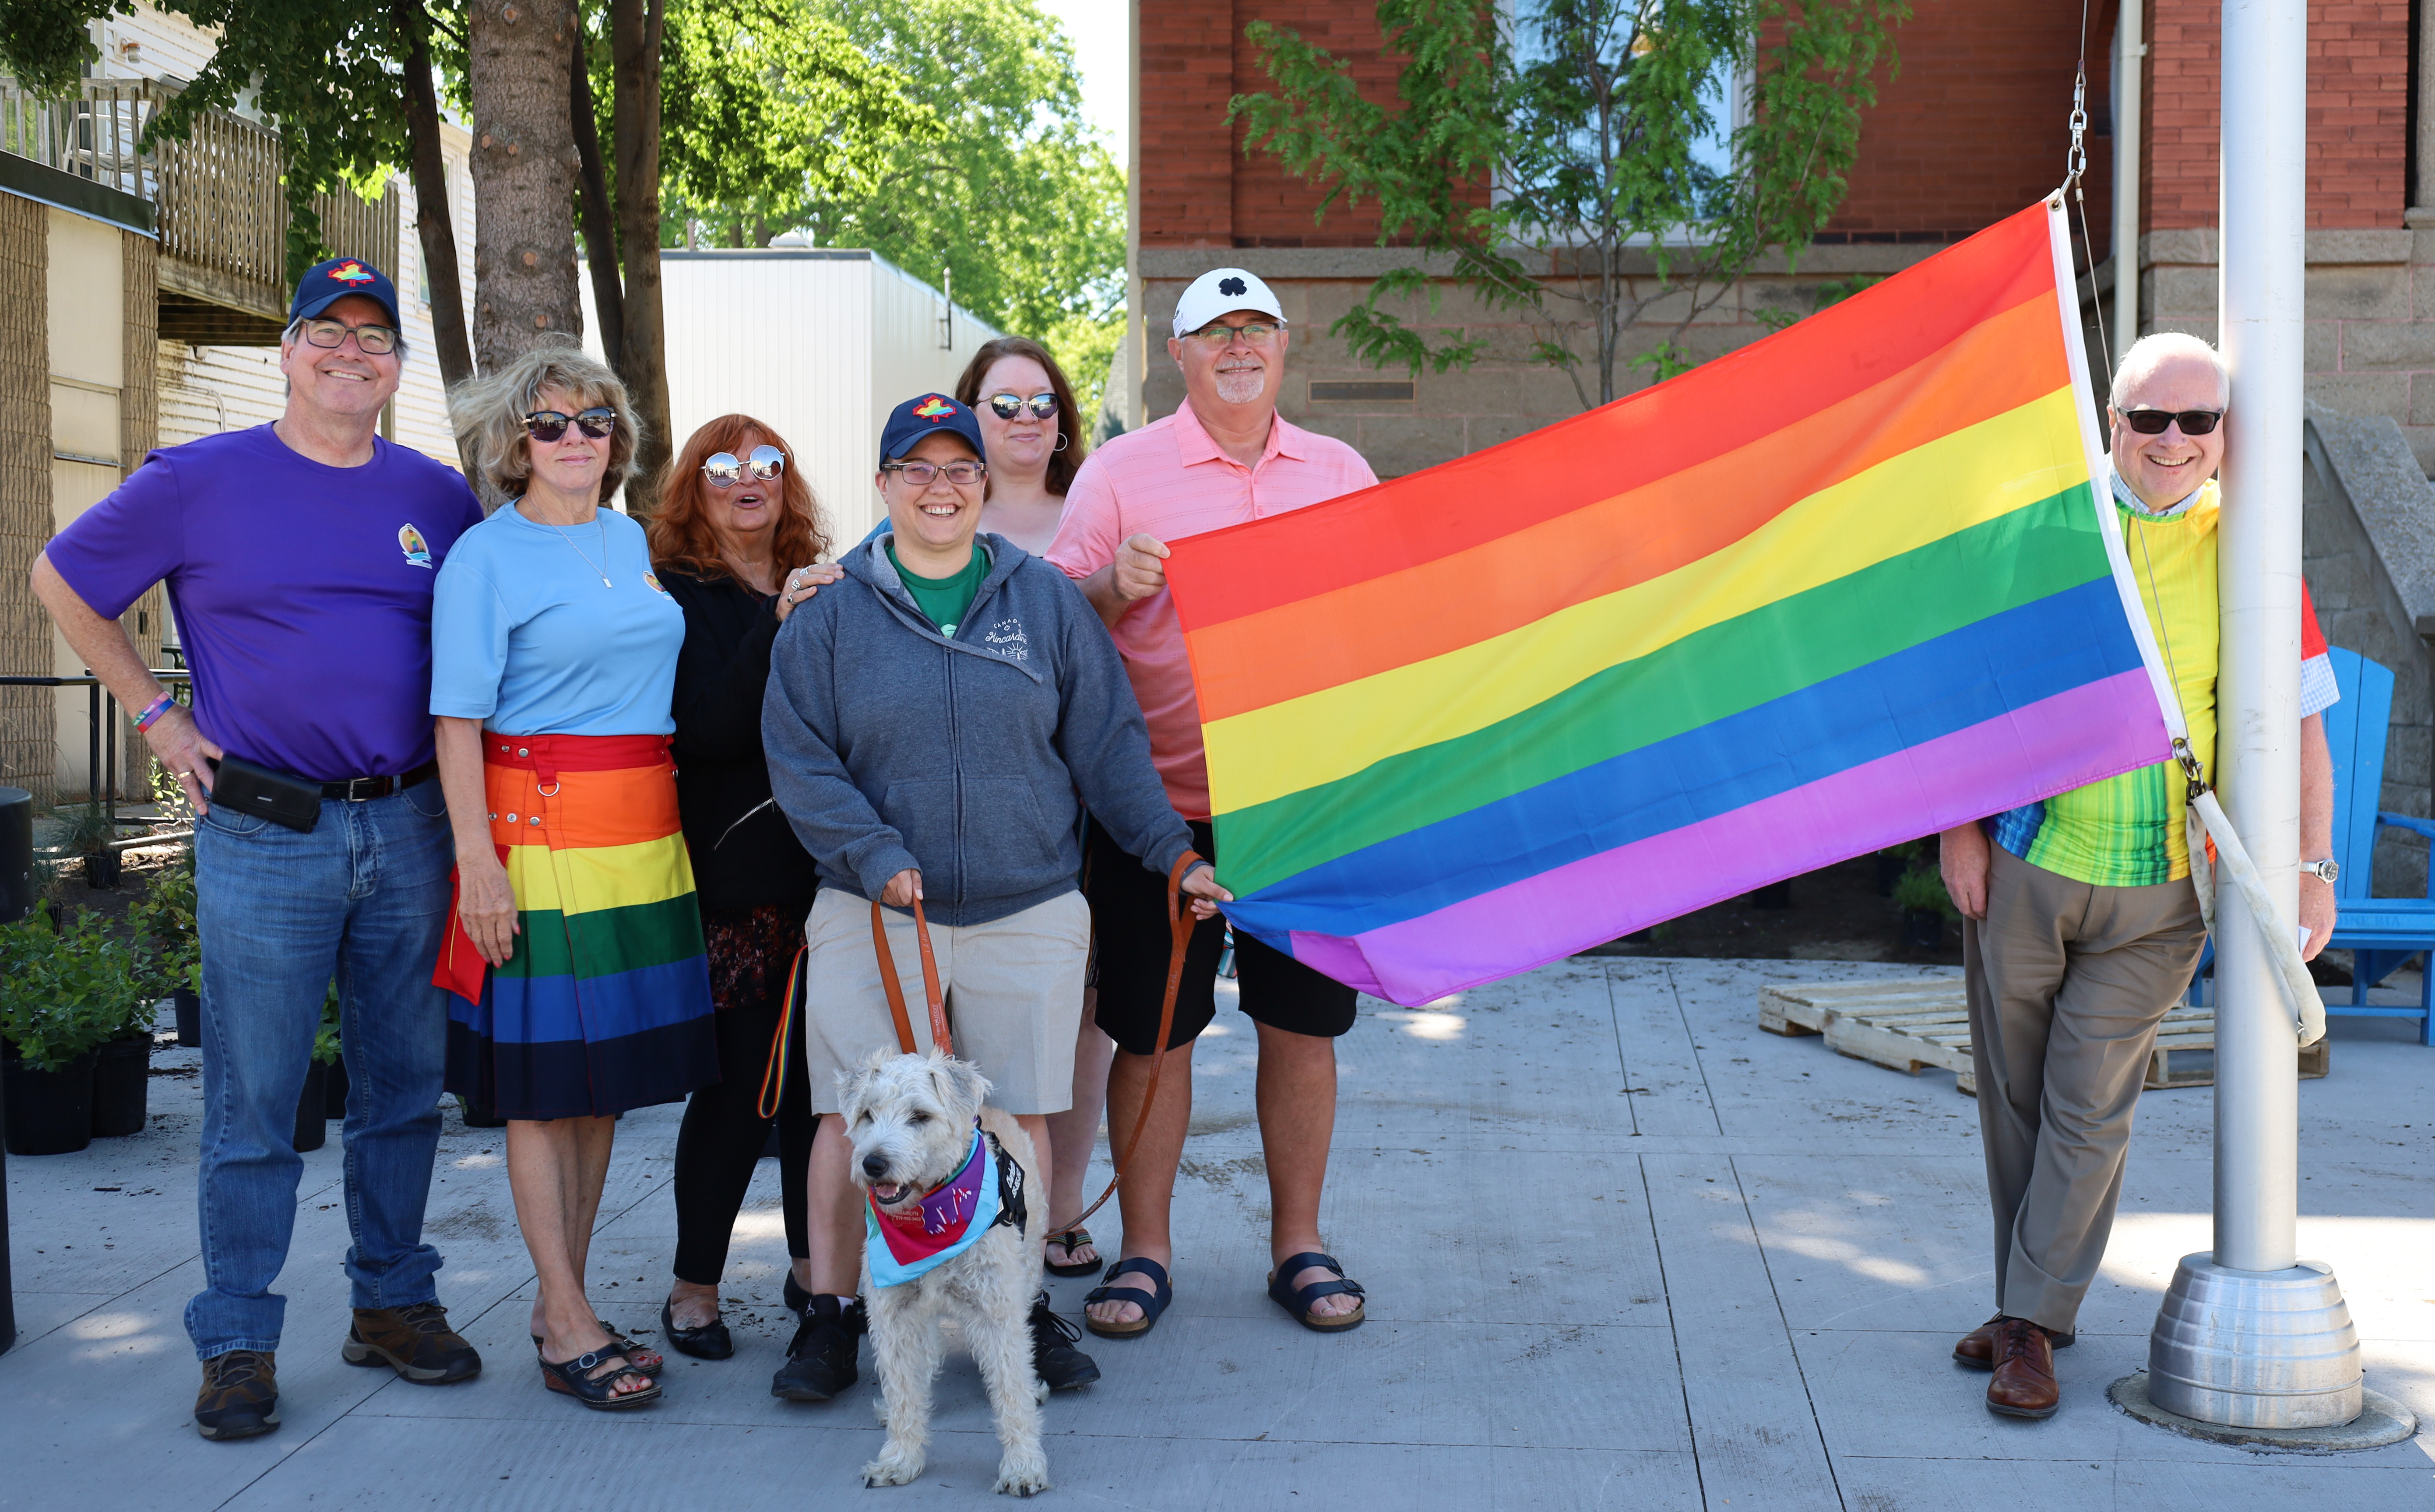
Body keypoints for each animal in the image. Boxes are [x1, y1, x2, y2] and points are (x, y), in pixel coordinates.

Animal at [842, 1051, 1052, 1500]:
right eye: (867, 1114)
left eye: (920, 1116)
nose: (873, 1163)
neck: (931, 1217)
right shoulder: (894, 1313)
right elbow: (904, 1389)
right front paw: (900, 1459)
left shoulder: (997, 1312)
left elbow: (1012, 1391)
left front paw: (1023, 1466)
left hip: (1027, 1272)